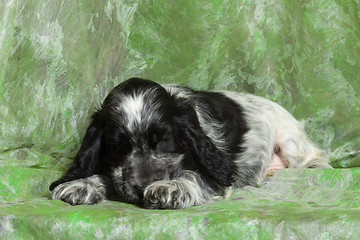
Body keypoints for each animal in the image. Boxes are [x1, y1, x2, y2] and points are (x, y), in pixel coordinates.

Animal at [48, 78, 332, 209]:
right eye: (118, 147)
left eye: (163, 141)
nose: (142, 188)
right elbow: (109, 173)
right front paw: (82, 184)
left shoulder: (218, 170)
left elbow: (192, 174)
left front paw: (171, 187)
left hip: (290, 142)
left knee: (316, 157)